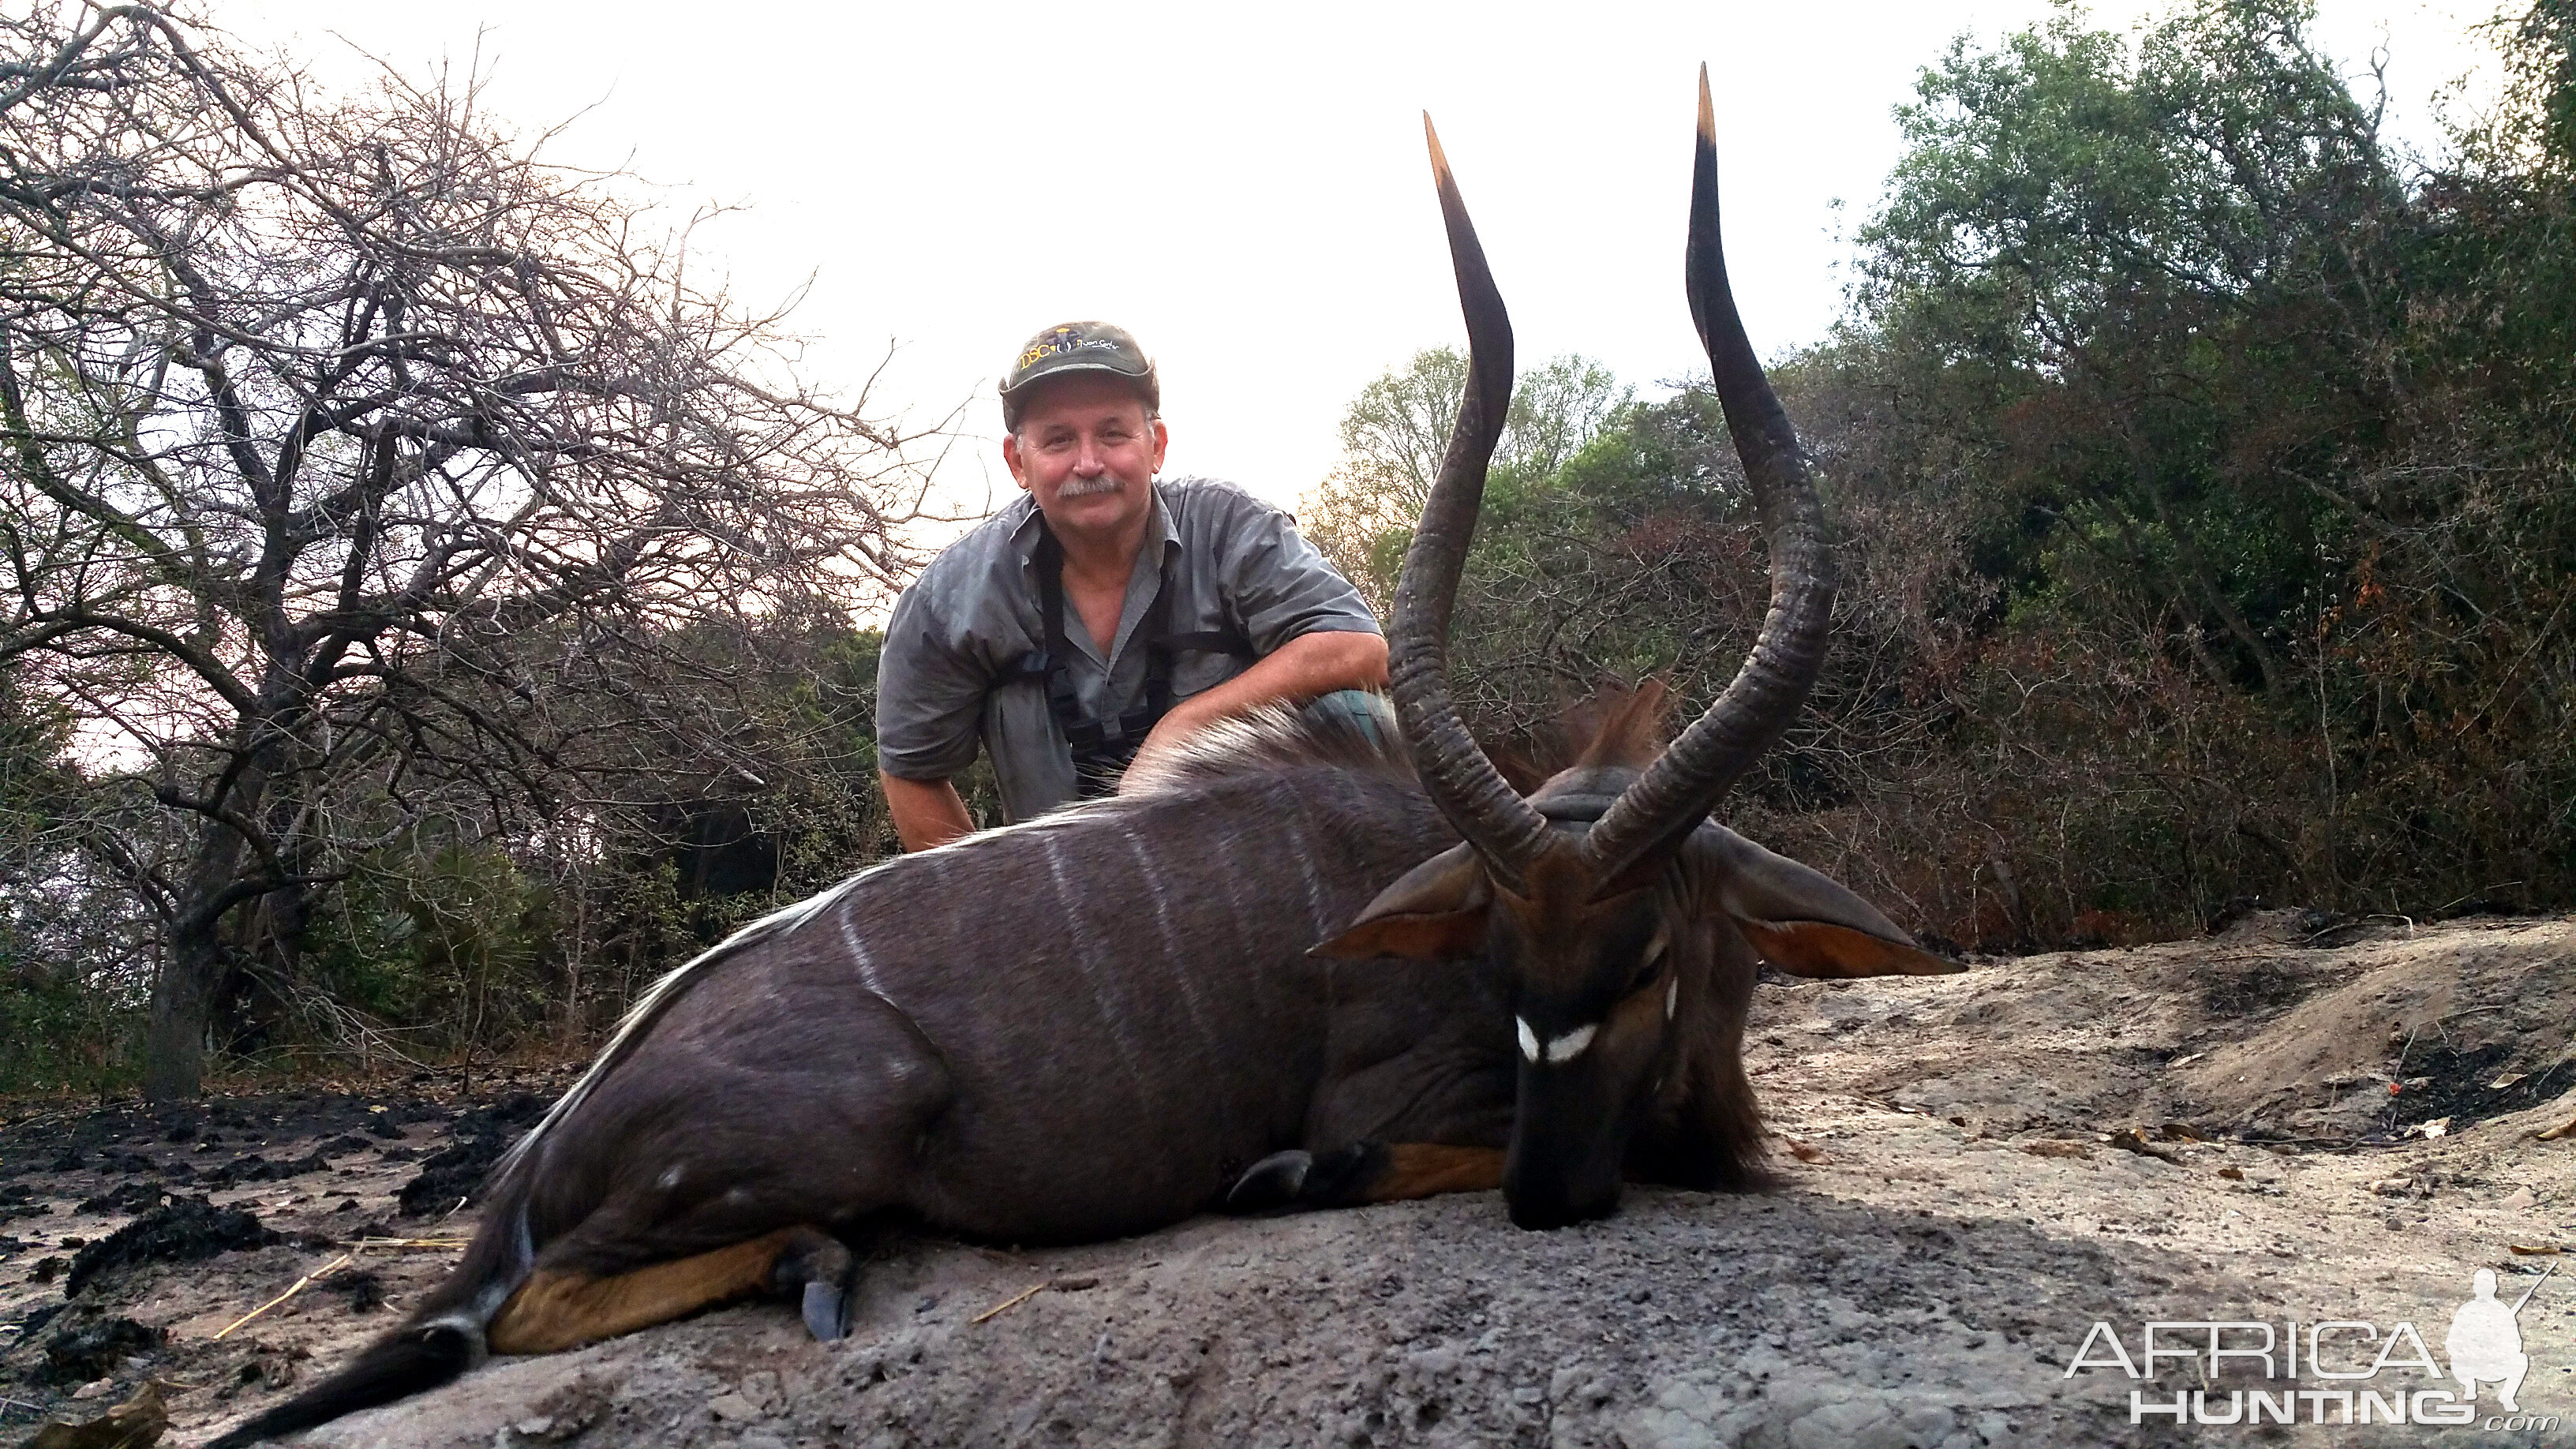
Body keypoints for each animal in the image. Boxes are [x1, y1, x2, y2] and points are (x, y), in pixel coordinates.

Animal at [216, 70, 1947, 1443]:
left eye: (1648, 957)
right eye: (1505, 970)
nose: (1548, 1194)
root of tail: (547, 1144)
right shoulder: (1403, 1099)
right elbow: (1355, 1155)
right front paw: (1289, 1181)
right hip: (843, 1120)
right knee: (520, 1312)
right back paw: (813, 1267)